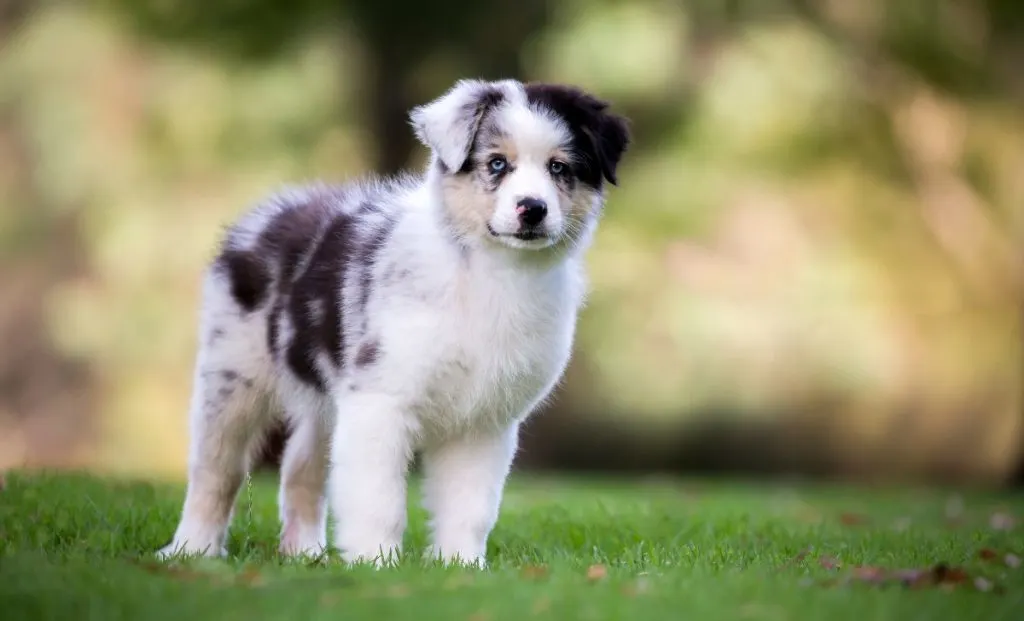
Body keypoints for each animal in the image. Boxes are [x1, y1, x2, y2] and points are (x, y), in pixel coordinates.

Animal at [156, 77, 626, 569]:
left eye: (559, 167)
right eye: (497, 163)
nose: (532, 209)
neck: (491, 273)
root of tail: (270, 211)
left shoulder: (485, 420)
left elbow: (470, 504)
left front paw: (462, 567)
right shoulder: (380, 398)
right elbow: (377, 496)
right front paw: (374, 563)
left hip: (321, 401)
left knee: (300, 468)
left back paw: (304, 553)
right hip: (231, 375)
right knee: (215, 470)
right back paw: (192, 549)